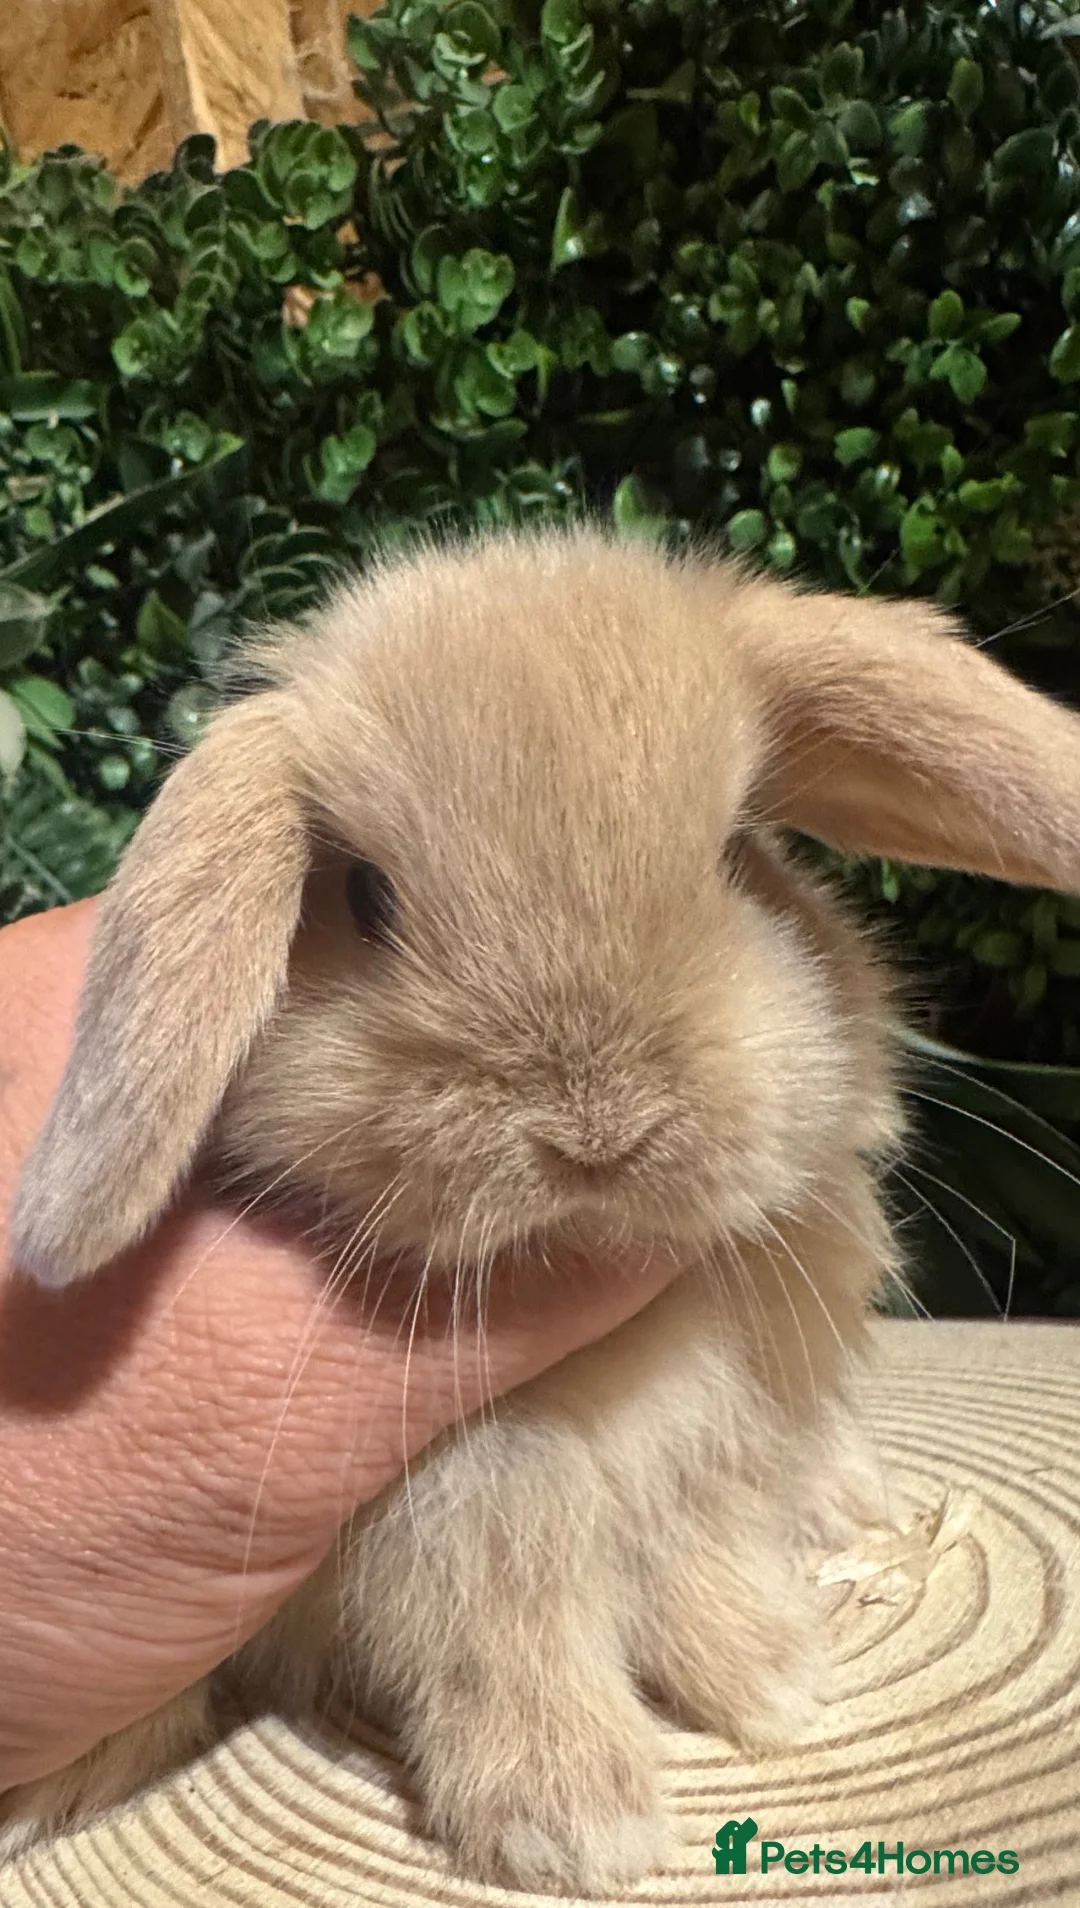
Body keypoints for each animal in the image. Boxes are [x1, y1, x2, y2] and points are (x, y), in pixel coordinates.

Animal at [5, 525, 1080, 1891]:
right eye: (366, 899)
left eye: (738, 854)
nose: (598, 1126)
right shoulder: (460, 1524)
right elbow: (507, 1642)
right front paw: (577, 1825)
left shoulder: (715, 1440)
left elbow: (695, 1555)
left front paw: (772, 1678)